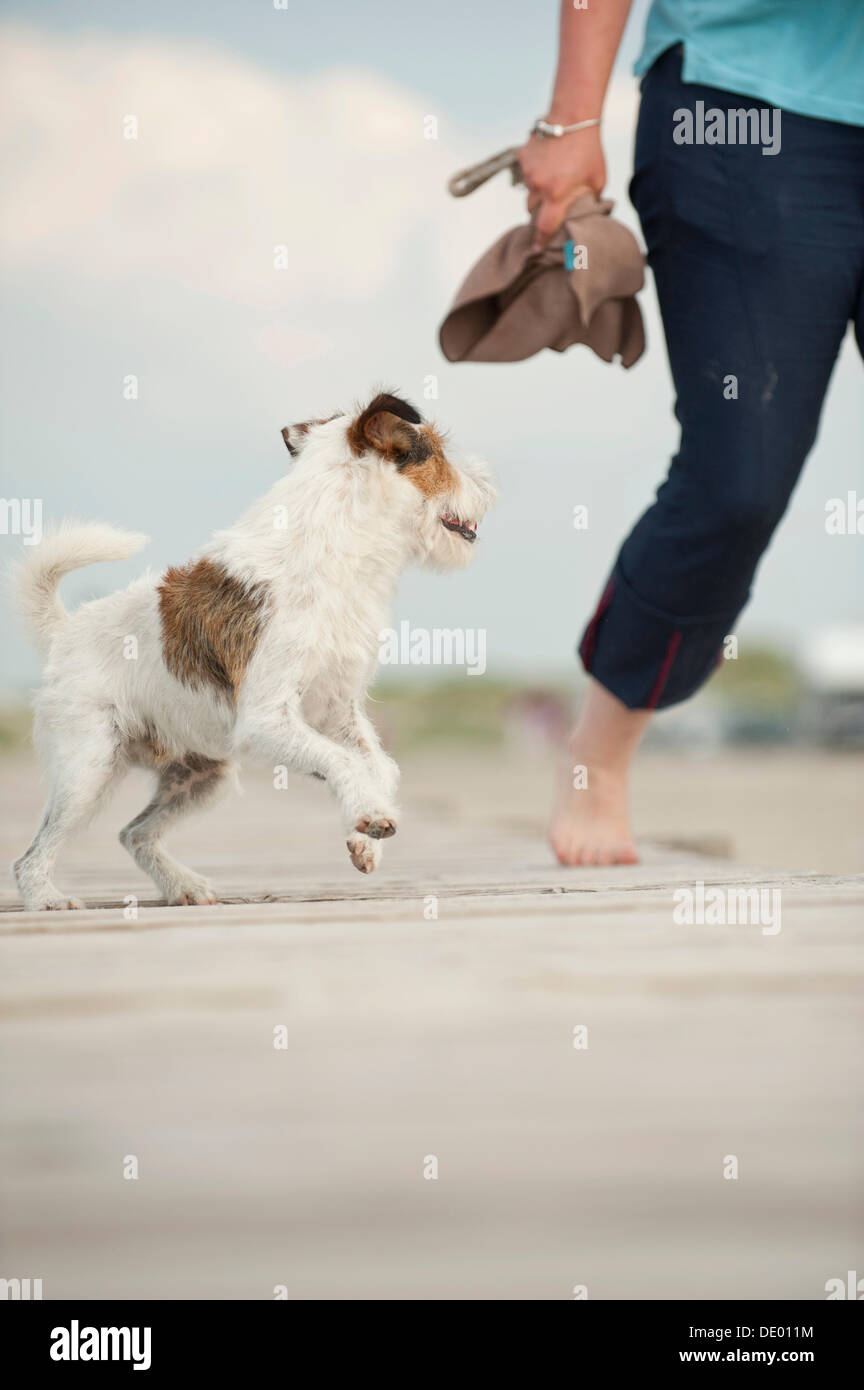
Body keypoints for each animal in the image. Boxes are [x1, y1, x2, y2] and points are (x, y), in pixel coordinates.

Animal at [11, 391, 494, 911]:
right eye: (439, 453)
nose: (488, 486)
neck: (335, 551)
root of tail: (64, 632)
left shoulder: (337, 711)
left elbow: (380, 765)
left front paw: (366, 832)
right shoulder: (267, 719)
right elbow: (342, 760)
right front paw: (369, 814)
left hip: (203, 779)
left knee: (134, 833)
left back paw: (183, 886)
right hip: (89, 769)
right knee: (32, 854)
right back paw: (46, 899)